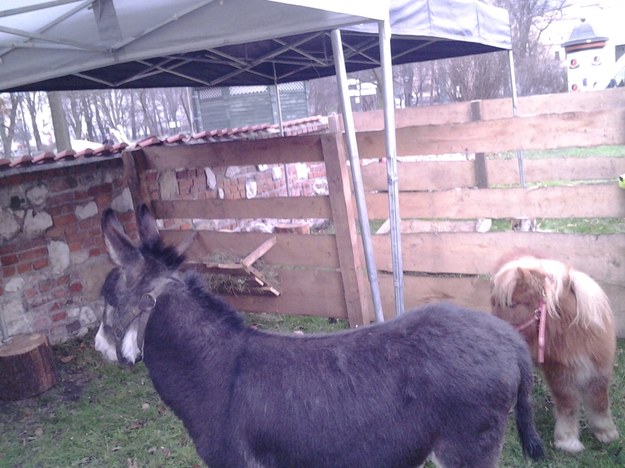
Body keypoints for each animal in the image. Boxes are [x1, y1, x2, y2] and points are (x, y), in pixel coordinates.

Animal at [492, 252, 620, 454]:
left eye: (512, 304)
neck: (576, 335)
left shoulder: (599, 373)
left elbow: (600, 403)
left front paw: (606, 434)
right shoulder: (560, 377)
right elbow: (568, 406)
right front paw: (568, 441)